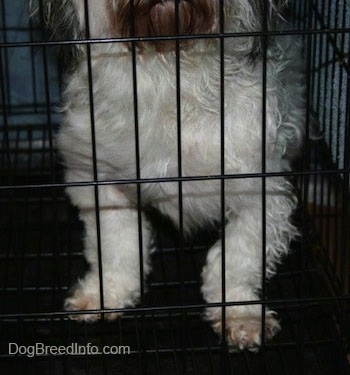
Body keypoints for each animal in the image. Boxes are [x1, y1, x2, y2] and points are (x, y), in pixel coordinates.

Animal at [34, 0, 304, 352]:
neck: (169, 69)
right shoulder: (99, 181)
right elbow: (116, 246)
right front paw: (106, 293)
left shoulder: (262, 193)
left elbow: (237, 257)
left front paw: (239, 314)